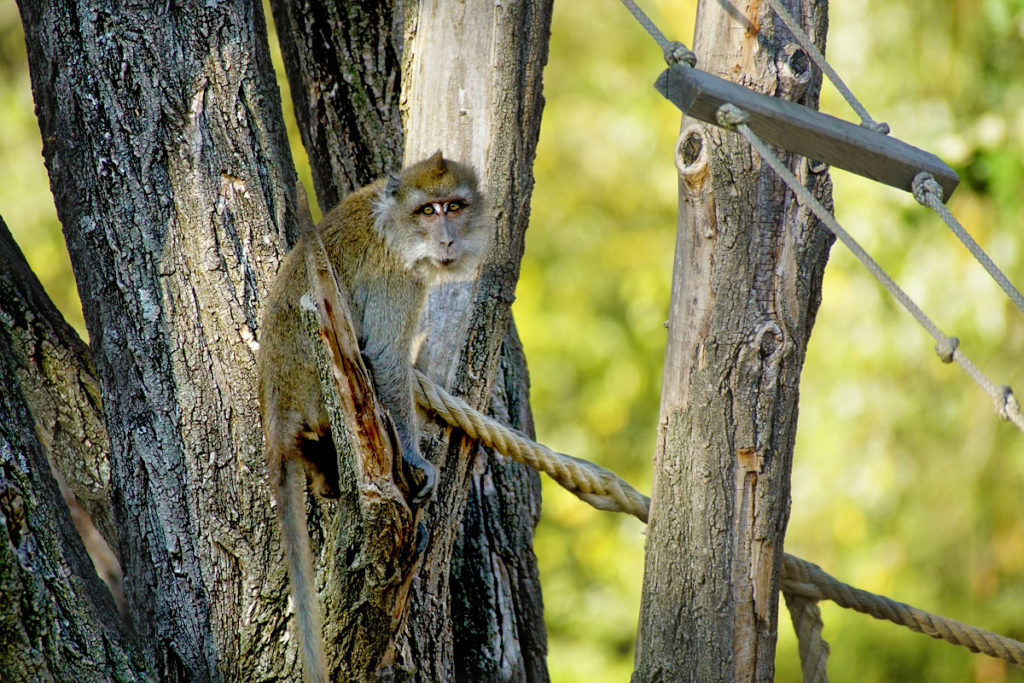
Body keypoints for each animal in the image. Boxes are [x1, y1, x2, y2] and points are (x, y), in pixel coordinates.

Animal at [256, 152, 487, 679]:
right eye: (429, 211)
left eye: (454, 206)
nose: (447, 239)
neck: (395, 221)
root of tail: (276, 400)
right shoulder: (395, 281)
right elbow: (383, 355)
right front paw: (419, 464)